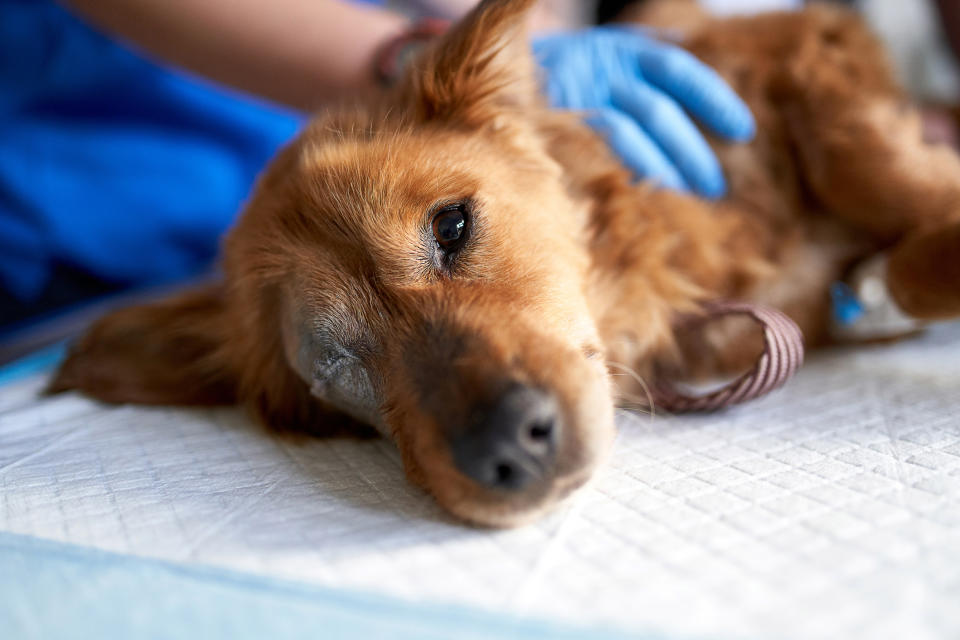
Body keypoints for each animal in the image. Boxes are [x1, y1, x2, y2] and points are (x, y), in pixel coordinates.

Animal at [48, 0, 960, 528]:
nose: (512, 451)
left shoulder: (801, 42)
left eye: (452, 226)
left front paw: (901, 258)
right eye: (334, 369)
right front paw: (882, 285)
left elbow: (866, 164)